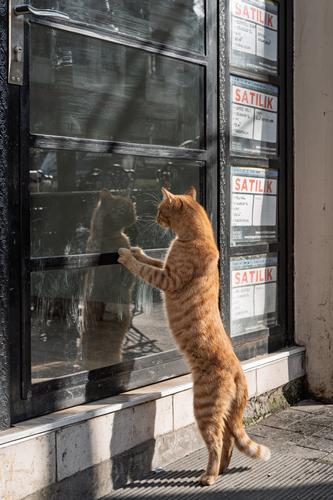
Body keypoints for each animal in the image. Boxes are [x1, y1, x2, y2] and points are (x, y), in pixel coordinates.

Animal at [117, 187, 270, 484]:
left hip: (204, 408)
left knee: (217, 442)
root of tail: (239, 370)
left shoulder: (168, 279)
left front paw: (127, 256)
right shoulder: (165, 266)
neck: (196, 237)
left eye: (161, 210)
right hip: (221, 414)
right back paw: (221, 470)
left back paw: (209, 476)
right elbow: (152, 259)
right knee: (229, 441)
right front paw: (137, 250)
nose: (154, 218)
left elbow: (145, 269)